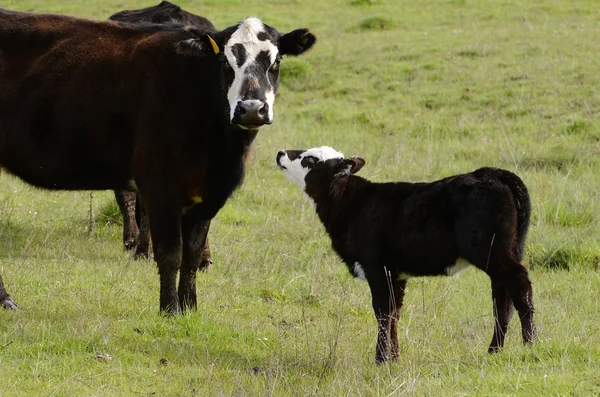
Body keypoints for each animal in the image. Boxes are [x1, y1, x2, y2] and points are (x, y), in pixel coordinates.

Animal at [0, 5, 318, 312]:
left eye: (275, 62)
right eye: (225, 63)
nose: (251, 108)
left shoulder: (208, 193)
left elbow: (191, 254)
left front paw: (190, 307)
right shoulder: (160, 183)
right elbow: (170, 253)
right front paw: (169, 309)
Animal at [276, 146, 540, 362]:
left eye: (310, 159)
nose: (280, 153)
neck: (353, 205)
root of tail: (491, 172)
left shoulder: (377, 268)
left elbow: (383, 312)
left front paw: (380, 359)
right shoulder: (396, 273)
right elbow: (394, 313)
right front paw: (394, 357)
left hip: (491, 251)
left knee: (519, 282)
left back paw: (531, 344)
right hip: (505, 252)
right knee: (502, 298)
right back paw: (495, 350)